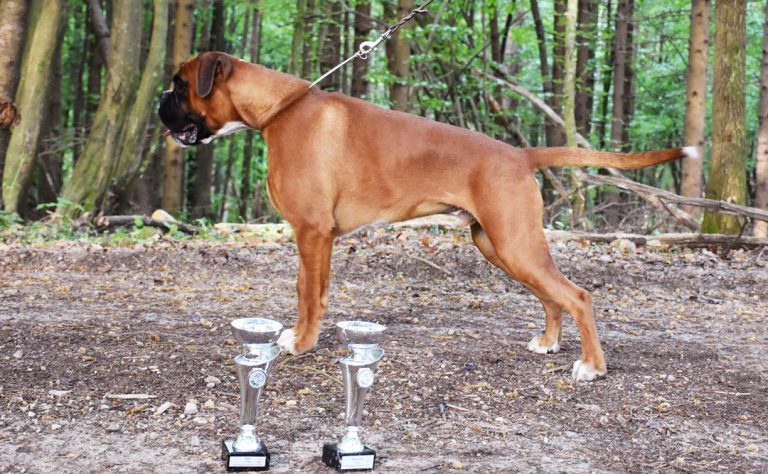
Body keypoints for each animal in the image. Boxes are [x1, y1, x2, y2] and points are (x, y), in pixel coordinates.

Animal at [159, 51, 698, 381]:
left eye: (180, 85)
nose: (161, 103)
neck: (277, 109)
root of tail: (521, 155)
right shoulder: (316, 236)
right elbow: (310, 290)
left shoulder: (312, 232)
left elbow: (309, 295)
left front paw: (302, 342)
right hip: (500, 245)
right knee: (552, 295)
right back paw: (547, 343)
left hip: (514, 243)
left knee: (578, 295)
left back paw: (591, 366)